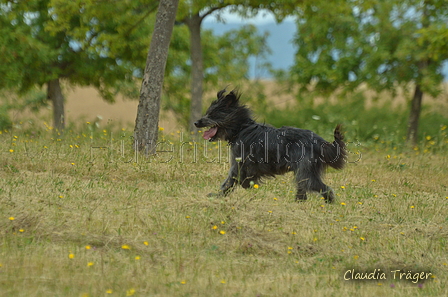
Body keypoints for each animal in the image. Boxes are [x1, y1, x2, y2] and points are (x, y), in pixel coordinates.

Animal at [193, 89, 346, 202]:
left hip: (305, 171)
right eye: (207, 113)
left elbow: (231, 181)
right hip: (304, 172)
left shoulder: (240, 163)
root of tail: (321, 142)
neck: (241, 128)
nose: (196, 122)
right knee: (306, 189)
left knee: (322, 188)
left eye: (212, 115)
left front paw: (219, 195)